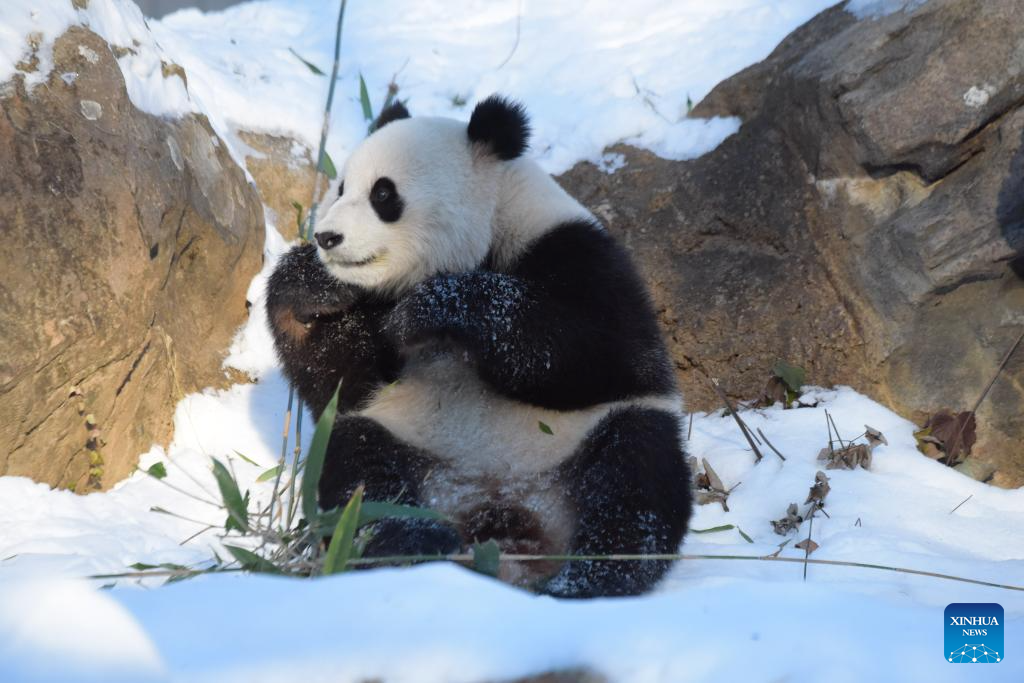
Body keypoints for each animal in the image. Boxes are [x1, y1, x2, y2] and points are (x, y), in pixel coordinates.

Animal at [268, 96, 692, 598]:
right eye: (340, 188)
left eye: (383, 195)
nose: (327, 237)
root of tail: (501, 514)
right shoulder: (367, 344)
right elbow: (338, 380)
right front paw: (311, 283)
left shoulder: (576, 251)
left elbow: (597, 348)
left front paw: (432, 307)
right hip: (400, 440)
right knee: (362, 485)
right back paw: (421, 547)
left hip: (585, 439)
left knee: (634, 479)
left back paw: (583, 579)